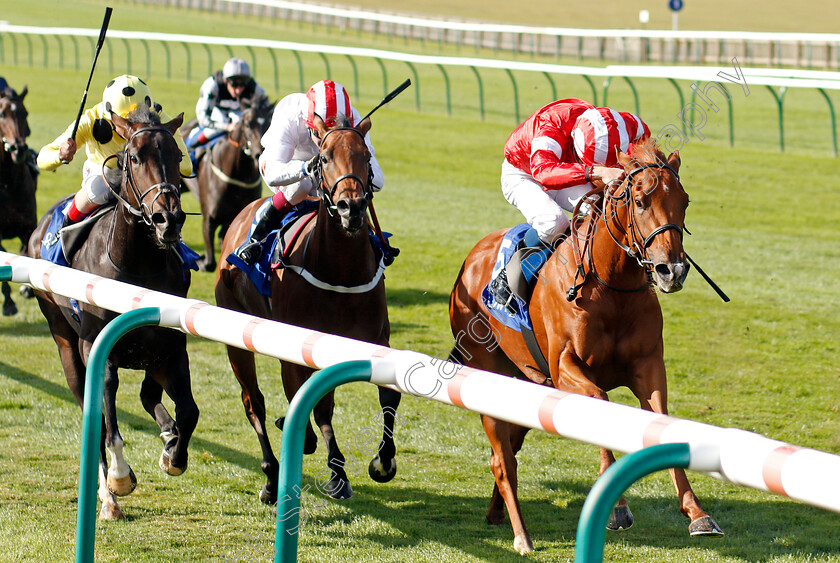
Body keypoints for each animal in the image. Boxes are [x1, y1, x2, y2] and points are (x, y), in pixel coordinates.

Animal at [26, 108, 199, 524]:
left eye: (177, 155)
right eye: (133, 158)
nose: (168, 219)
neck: (137, 266)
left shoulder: (171, 350)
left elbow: (189, 411)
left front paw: (173, 455)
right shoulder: (97, 351)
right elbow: (107, 421)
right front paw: (120, 479)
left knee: (150, 397)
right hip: (64, 340)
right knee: (93, 410)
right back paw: (108, 497)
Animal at [186, 101, 272, 274]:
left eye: (268, 123)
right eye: (247, 123)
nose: (259, 153)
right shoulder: (209, 219)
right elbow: (210, 263)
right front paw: (201, 259)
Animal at [215, 112, 402, 504]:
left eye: (366, 156)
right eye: (325, 157)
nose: (351, 207)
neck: (341, 272)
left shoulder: (375, 341)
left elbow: (387, 394)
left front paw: (383, 462)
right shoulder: (297, 346)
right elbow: (310, 403)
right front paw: (328, 464)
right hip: (237, 336)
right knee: (253, 401)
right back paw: (273, 476)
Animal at [450, 138, 720, 556]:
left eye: (685, 200)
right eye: (640, 201)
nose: (671, 271)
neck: (611, 286)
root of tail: (471, 259)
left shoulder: (648, 366)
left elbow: (663, 423)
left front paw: (697, 513)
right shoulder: (566, 368)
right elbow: (601, 403)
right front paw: (617, 508)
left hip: (525, 381)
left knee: (510, 445)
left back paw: (496, 513)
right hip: (487, 373)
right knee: (502, 460)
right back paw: (522, 535)